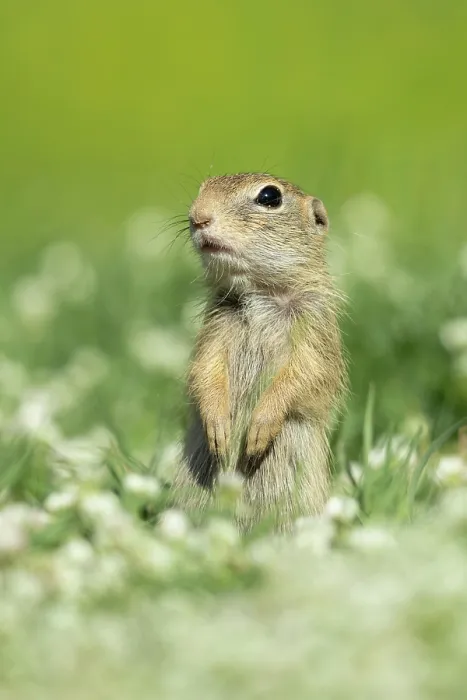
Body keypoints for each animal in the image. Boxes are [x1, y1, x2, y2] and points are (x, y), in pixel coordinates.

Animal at [173, 173, 347, 531]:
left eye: (269, 196)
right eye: (203, 186)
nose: (198, 217)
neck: (262, 293)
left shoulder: (315, 327)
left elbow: (305, 376)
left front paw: (258, 430)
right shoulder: (217, 324)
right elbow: (204, 368)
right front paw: (218, 428)